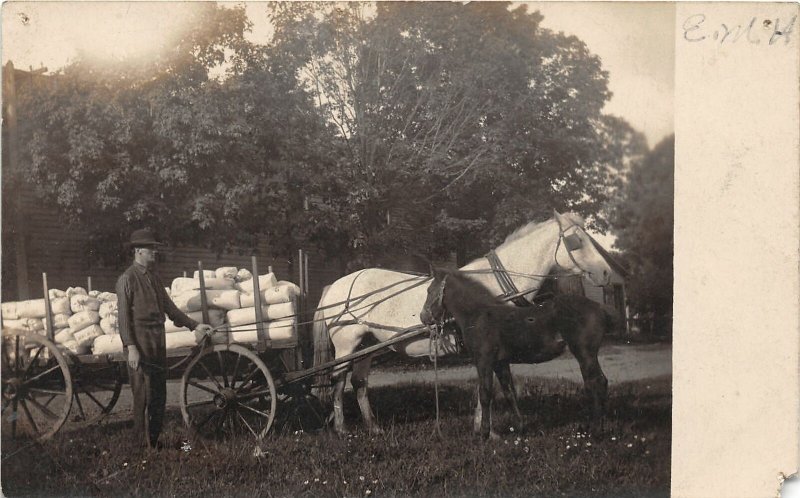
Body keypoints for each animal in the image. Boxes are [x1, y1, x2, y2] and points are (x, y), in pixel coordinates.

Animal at [418, 268, 612, 436]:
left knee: (597, 382)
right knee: (593, 383)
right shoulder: (500, 363)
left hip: (584, 353)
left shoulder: (484, 361)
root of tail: (600, 307)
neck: (479, 315)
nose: (424, 317)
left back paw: (596, 431)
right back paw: (589, 427)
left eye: (429, 290)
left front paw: (484, 434)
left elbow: (485, 394)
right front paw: (520, 427)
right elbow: (509, 392)